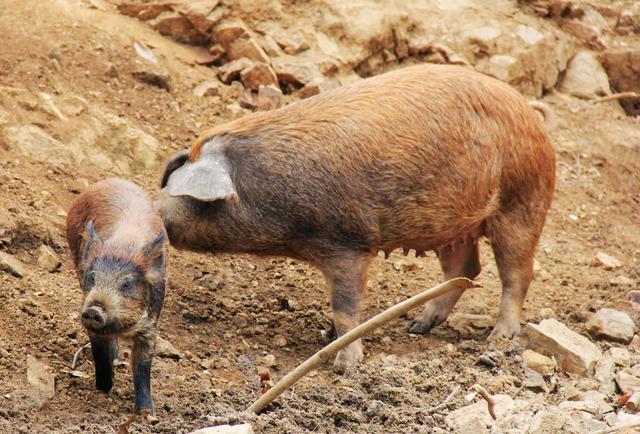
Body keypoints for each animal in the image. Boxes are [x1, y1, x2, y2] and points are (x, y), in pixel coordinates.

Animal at [67, 179, 168, 414]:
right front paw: (105, 390)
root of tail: (110, 181)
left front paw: (147, 414)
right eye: (92, 277)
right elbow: (100, 356)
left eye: (127, 283)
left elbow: (142, 369)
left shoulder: (150, 327)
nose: (94, 309)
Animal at [155, 64, 556, 368]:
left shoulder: (349, 242)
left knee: (518, 272)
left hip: (523, 200)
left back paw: (497, 339)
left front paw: (344, 365)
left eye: (185, 192)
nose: (156, 210)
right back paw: (417, 327)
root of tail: (529, 112)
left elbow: (345, 306)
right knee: (465, 268)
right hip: (453, 224)